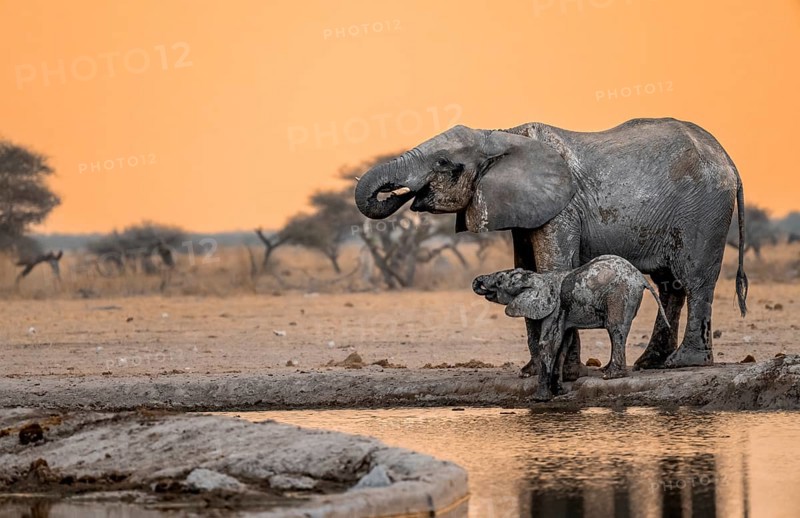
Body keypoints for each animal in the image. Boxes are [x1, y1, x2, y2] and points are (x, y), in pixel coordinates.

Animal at [354, 118, 748, 378]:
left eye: (444, 163)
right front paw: (530, 372)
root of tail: (728, 158)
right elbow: (526, 266)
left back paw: (684, 363)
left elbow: (551, 266)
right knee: (670, 284)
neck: (499, 134)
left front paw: (566, 373)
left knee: (694, 280)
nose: (399, 195)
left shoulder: (563, 208)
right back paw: (650, 363)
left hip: (704, 211)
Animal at [472, 256, 670, 400]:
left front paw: (538, 399)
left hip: (621, 295)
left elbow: (548, 343)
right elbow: (563, 344)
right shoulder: (562, 312)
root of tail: (641, 277)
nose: (479, 281)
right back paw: (608, 372)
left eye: (499, 281)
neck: (538, 278)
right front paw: (558, 392)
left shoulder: (555, 308)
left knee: (615, 329)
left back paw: (611, 376)